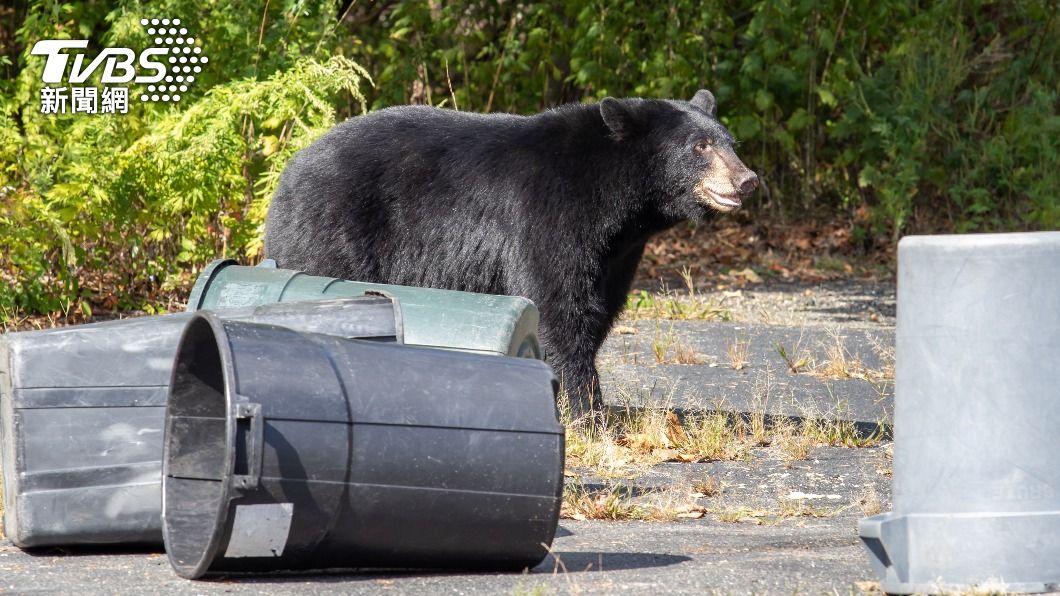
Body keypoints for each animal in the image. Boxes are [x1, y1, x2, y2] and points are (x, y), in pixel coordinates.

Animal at [265, 89, 763, 413]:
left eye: (730, 143)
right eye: (700, 145)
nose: (746, 180)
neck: (617, 200)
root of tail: (289, 174)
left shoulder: (617, 253)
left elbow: (599, 308)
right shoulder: (549, 215)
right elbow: (558, 304)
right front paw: (588, 410)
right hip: (335, 232)